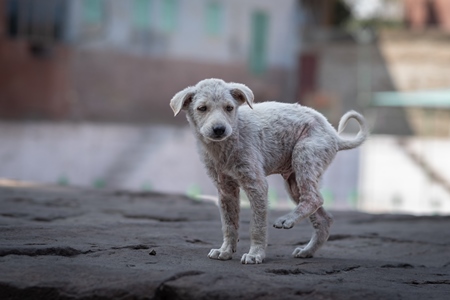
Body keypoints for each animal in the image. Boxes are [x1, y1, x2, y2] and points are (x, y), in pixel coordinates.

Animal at [171, 78, 368, 264]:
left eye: (229, 108)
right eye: (202, 108)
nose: (219, 129)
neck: (228, 141)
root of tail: (334, 135)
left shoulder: (256, 185)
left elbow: (257, 226)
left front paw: (255, 255)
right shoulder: (225, 190)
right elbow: (229, 224)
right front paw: (225, 251)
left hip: (305, 154)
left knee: (314, 198)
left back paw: (287, 220)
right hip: (294, 181)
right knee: (324, 218)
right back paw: (307, 251)